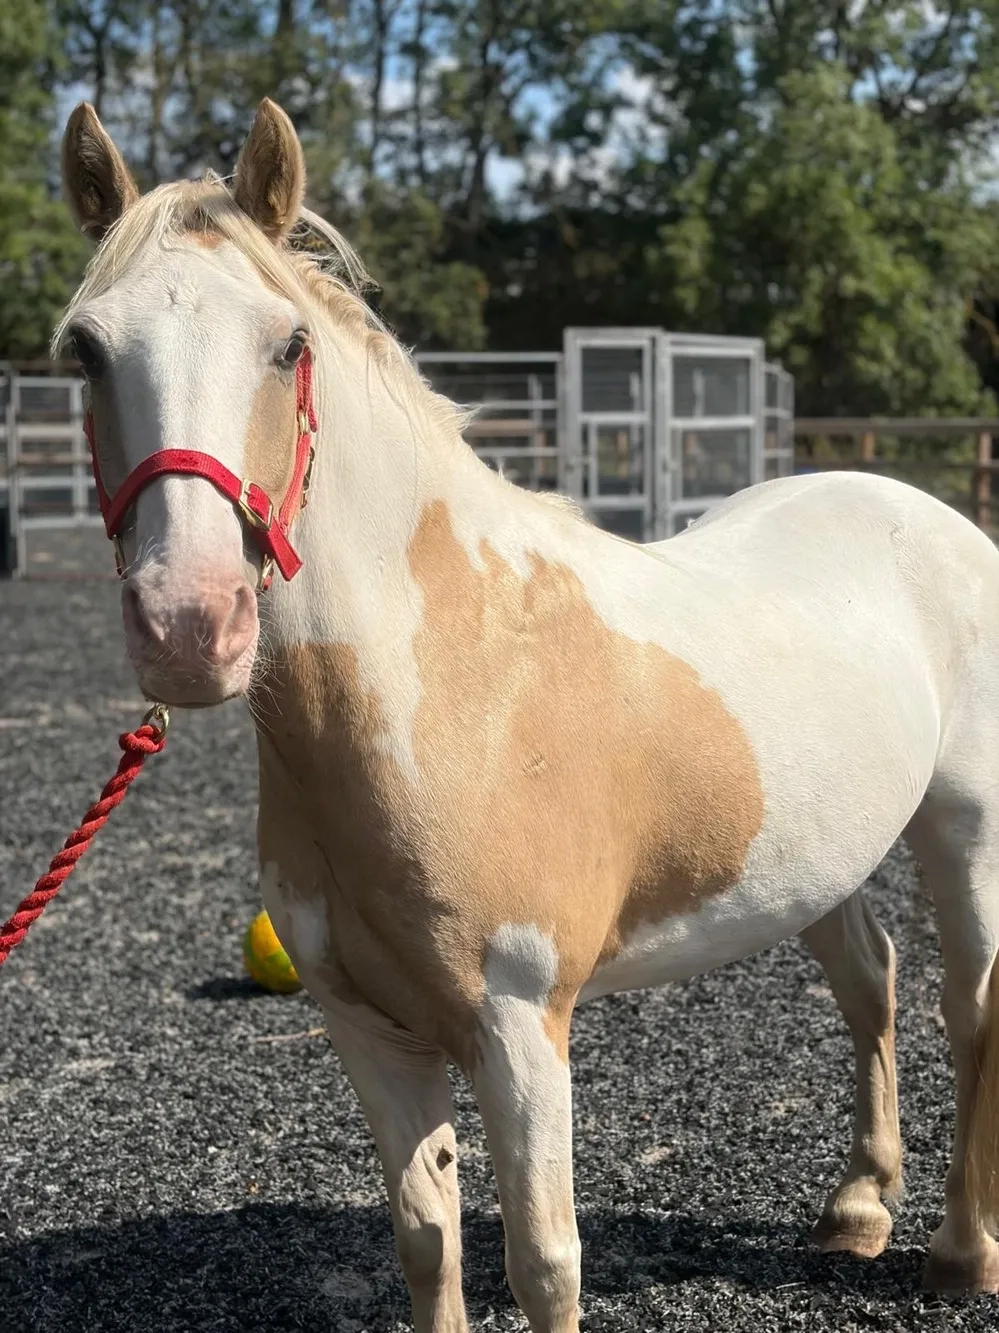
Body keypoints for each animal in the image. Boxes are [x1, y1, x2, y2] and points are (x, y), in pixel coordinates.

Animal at [56, 96, 999, 1331]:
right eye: (85, 349)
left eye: (288, 345)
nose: (187, 622)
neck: (446, 696)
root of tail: (928, 513)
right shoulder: (367, 1027)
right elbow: (426, 1239)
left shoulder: (519, 1025)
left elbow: (546, 1261)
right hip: (815, 855)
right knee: (869, 981)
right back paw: (856, 1207)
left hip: (964, 829)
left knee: (966, 1008)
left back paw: (962, 1250)